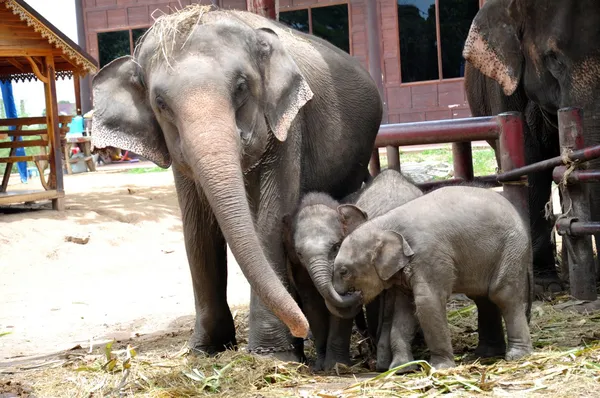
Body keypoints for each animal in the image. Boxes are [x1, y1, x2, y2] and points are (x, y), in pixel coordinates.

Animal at [90, 5, 380, 360]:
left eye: (241, 87)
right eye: (160, 103)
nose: (300, 326)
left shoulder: (288, 124)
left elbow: (270, 217)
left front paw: (272, 355)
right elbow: (197, 228)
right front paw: (205, 349)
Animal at [284, 168, 424, 370]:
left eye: (336, 246)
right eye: (299, 253)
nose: (355, 293)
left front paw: (336, 366)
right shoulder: (298, 266)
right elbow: (312, 304)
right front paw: (323, 367)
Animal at [332, 187, 536, 370]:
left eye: (344, 271)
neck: (384, 223)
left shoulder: (429, 255)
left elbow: (427, 303)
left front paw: (440, 368)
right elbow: (404, 310)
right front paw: (402, 369)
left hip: (511, 249)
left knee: (503, 294)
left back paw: (517, 356)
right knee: (483, 298)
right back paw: (487, 354)